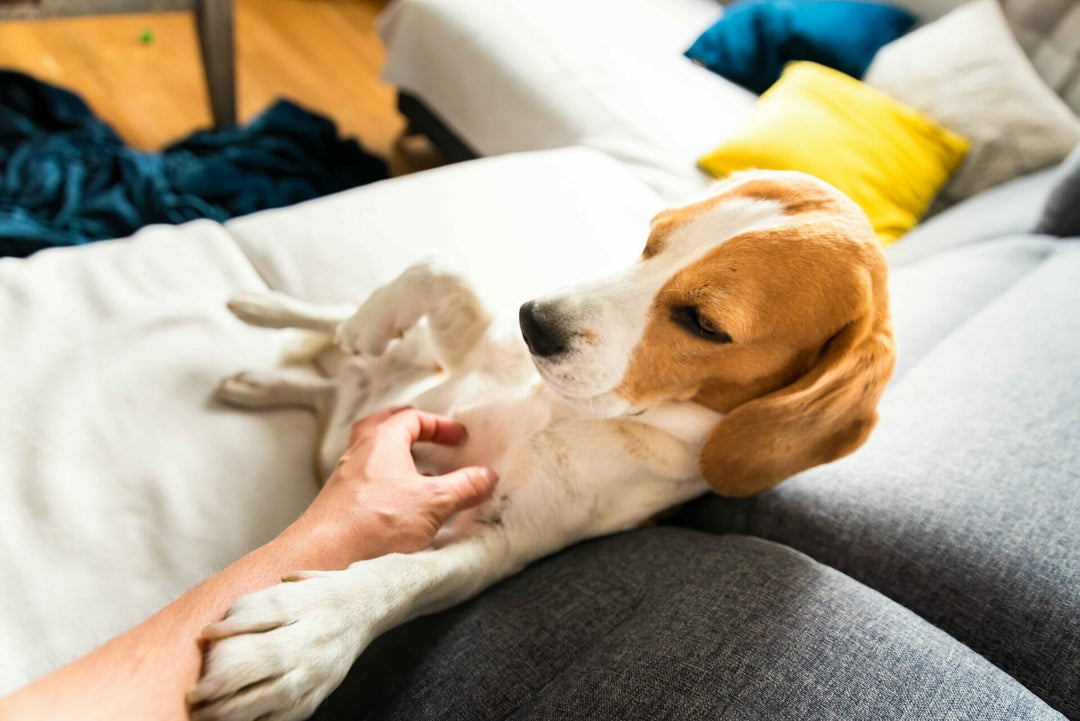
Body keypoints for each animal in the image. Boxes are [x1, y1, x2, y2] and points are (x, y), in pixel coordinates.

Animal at [192, 170, 894, 721]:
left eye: (705, 324)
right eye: (651, 240)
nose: (534, 321)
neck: (571, 406)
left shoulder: (499, 542)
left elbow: (406, 577)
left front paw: (309, 633)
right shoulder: (464, 346)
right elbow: (438, 266)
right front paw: (366, 319)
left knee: (325, 389)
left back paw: (270, 375)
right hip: (411, 352)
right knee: (336, 325)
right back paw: (272, 310)